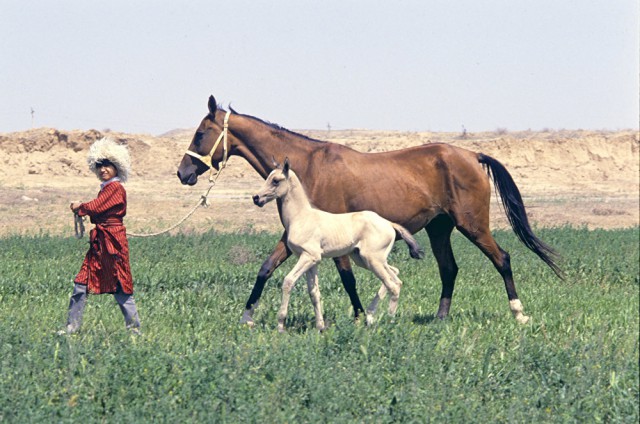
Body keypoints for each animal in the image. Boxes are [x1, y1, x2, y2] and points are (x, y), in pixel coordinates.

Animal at [251, 158, 424, 332]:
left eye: (275, 180)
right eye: (268, 177)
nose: (256, 198)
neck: (301, 217)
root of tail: (389, 224)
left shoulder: (308, 257)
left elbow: (288, 281)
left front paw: (280, 326)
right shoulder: (312, 261)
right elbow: (314, 292)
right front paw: (320, 327)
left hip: (373, 260)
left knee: (392, 285)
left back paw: (388, 321)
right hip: (364, 260)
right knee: (396, 277)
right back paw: (370, 316)